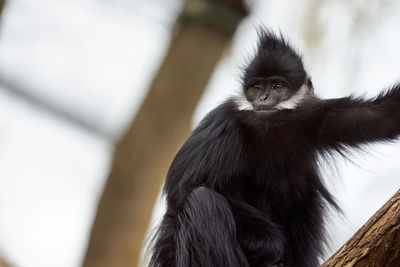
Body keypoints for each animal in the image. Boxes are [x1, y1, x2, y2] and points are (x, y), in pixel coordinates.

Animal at [148, 29, 400, 267]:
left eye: (278, 86)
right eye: (256, 87)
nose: (263, 98)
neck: (270, 130)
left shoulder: (315, 119)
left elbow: (380, 117)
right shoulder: (222, 124)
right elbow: (183, 190)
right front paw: (270, 244)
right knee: (202, 200)